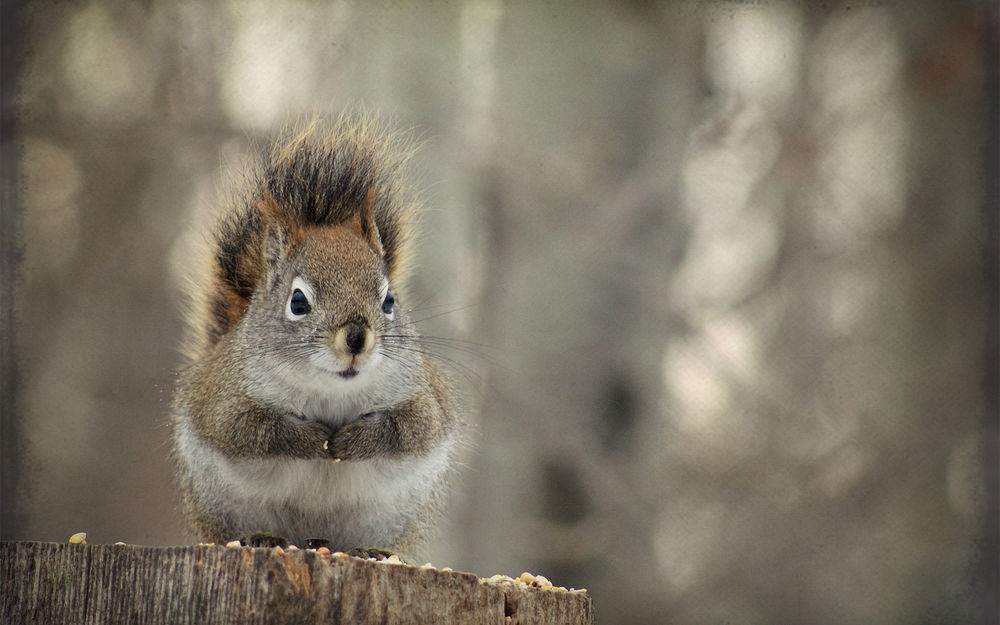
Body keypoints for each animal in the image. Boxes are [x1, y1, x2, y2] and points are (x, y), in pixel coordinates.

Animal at [171, 116, 460, 556]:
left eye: (389, 299)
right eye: (298, 302)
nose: (356, 338)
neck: (332, 391)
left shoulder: (423, 397)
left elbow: (411, 428)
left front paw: (352, 441)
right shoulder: (226, 399)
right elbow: (250, 430)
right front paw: (314, 441)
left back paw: (370, 551)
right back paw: (263, 537)